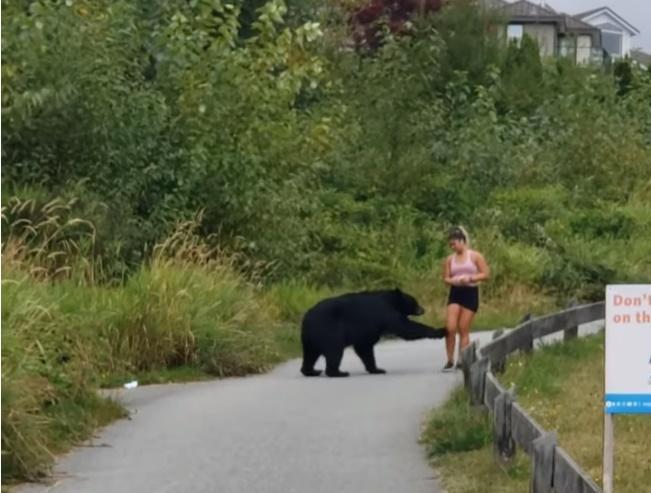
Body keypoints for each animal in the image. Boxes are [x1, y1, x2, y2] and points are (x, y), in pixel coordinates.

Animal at [300, 288, 447, 377]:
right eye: (414, 301)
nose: (423, 309)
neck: (391, 300)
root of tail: (306, 318)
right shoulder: (385, 313)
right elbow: (405, 328)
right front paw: (440, 331)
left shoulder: (369, 329)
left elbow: (365, 347)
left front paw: (377, 369)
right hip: (329, 331)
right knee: (334, 351)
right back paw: (338, 372)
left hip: (311, 338)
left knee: (310, 354)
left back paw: (311, 371)